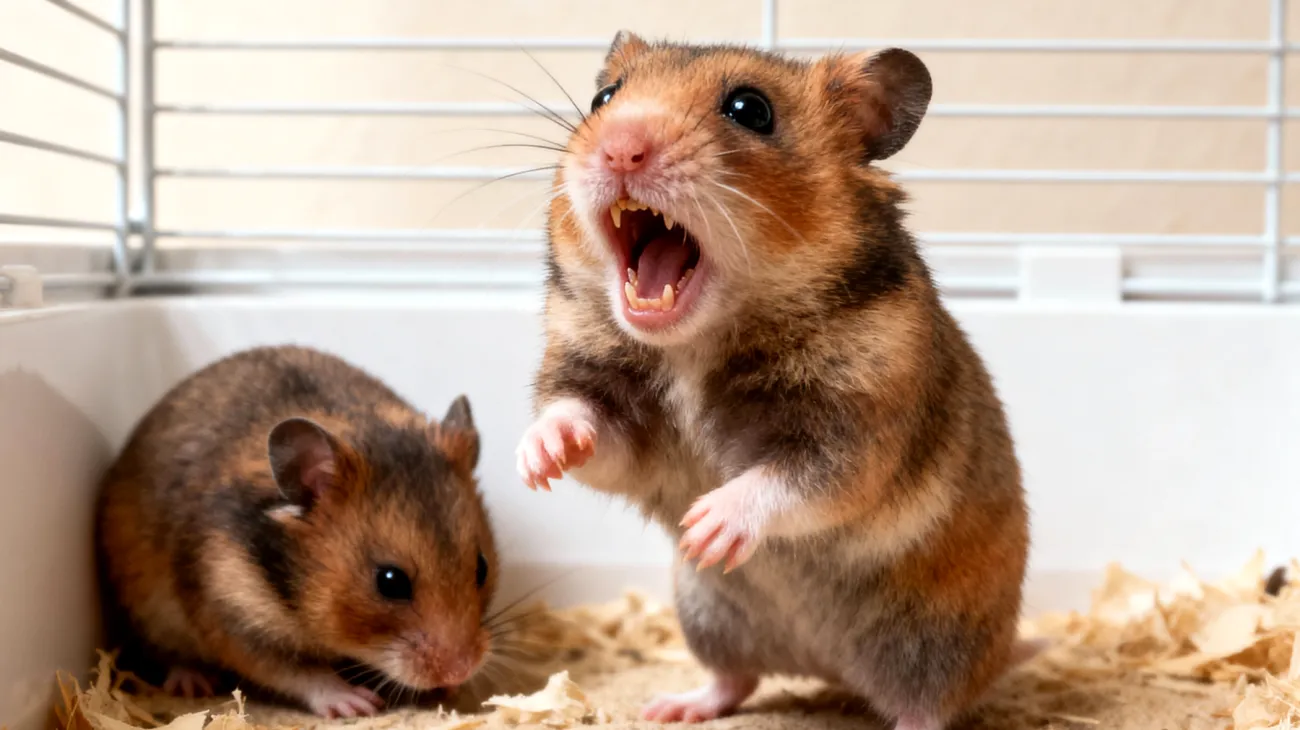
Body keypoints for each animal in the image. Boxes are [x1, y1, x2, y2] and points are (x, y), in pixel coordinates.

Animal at [97, 345, 497, 718]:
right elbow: (298, 673)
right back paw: (193, 683)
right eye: (390, 581)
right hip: (147, 612)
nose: (460, 671)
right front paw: (357, 704)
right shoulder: (233, 617)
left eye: (482, 567)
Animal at [516, 33, 1033, 730]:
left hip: (935, 644)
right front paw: (538, 461)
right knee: (736, 679)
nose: (620, 146)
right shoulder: (612, 411)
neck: (693, 346)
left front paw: (706, 526)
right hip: (708, 615)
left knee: (925, 708)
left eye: (750, 110)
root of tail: (827, 669)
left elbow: (790, 481)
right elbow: (582, 423)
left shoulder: (854, 436)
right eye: (603, 97)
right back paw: (671, 707)